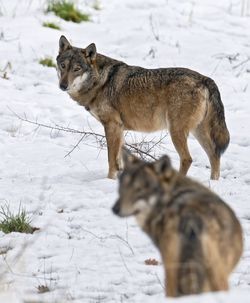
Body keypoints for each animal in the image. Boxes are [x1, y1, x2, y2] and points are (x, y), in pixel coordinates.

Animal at [56, 35, 229, 180]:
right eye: (63, 66)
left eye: (77, 69)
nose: (62, 86)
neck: (100, 81)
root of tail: (205, 79)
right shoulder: (119, 129)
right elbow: (119, 160)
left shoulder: (112, 126)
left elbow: (111, 160)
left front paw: (109, 180)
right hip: (197, 131)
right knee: (215, 155)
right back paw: (213, 183)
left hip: (176, 131)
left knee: (188, 159)